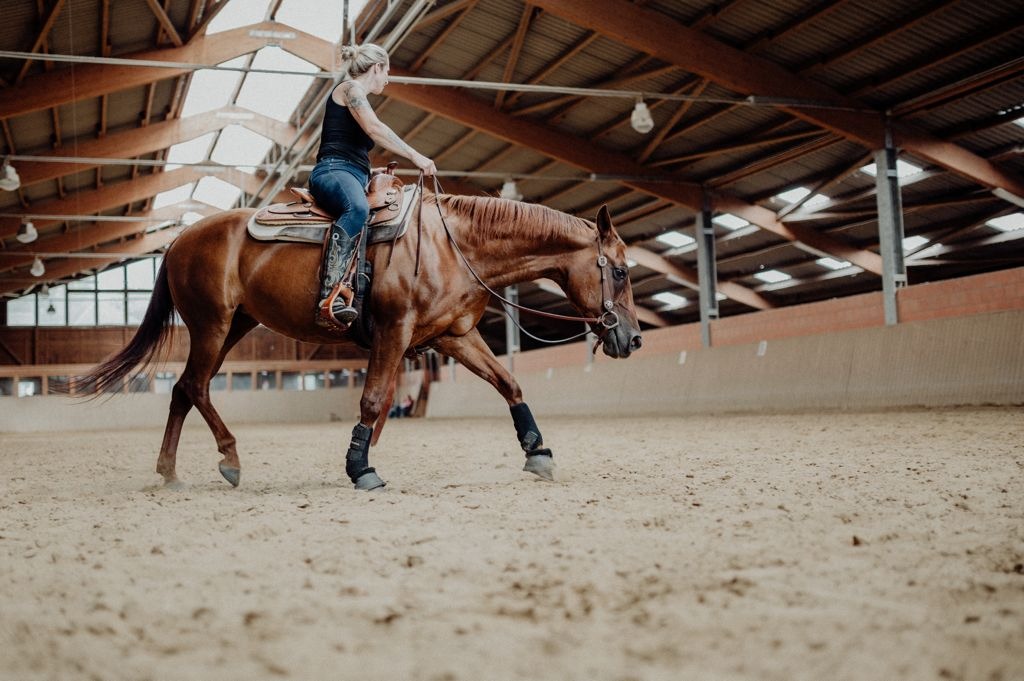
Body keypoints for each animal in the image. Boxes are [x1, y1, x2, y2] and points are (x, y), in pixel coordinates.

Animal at [77, 191, 638, 489]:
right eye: (621, 271)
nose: (631, 340)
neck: (452, 246)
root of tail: (178, 241)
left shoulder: (454, 336)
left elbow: (509, 384)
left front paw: (537, 452)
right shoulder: (395, 330)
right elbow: (371, 399)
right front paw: (360, 467)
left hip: (233, 326)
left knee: (182, 390)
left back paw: (170, 472)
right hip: (211, 326)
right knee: (194, 387)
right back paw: (230, 459)